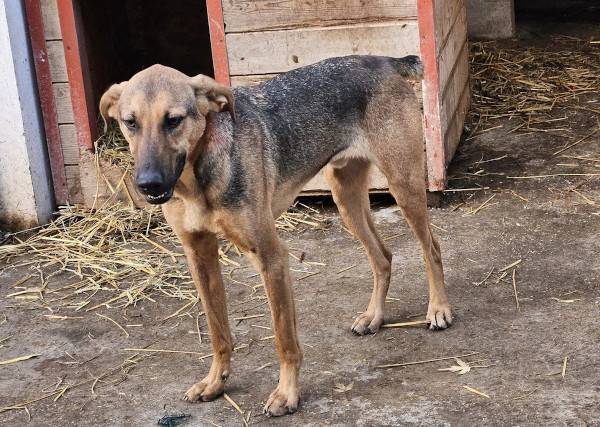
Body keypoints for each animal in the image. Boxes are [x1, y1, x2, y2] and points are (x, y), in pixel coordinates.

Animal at [99, 55, 452, 417]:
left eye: (173, 120)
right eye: (130, 122)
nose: (148, 184)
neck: (198, 176)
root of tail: (385, 60)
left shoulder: (271, 257)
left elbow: (284, 339)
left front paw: (286, 394)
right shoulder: (199, 256)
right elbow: (217, 331)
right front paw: (215, 382)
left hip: (404, 186)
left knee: (432, 248)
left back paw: (438, 309)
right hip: (346, 199)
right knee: (383, 256)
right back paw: (374, 317)